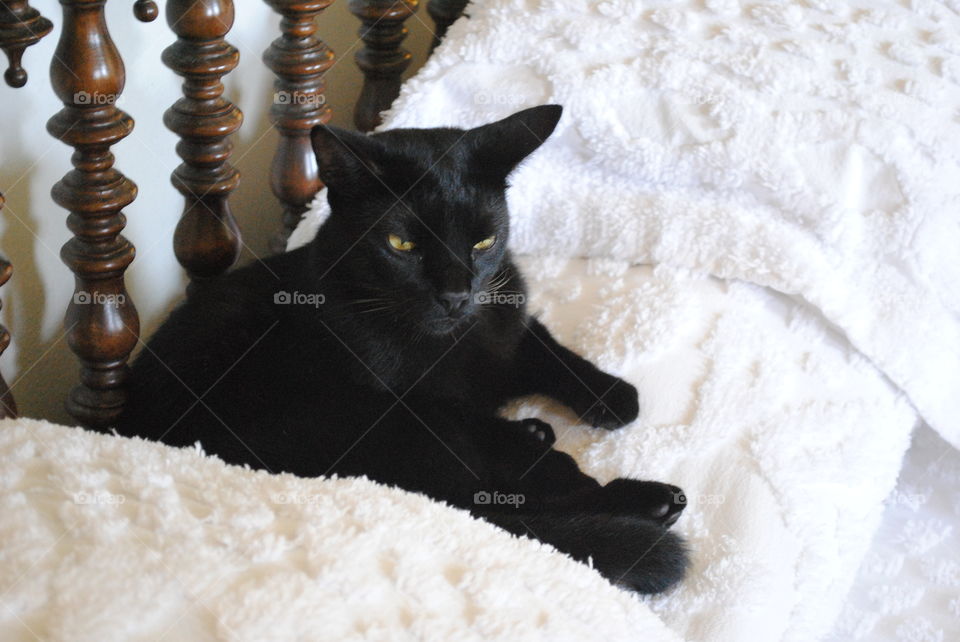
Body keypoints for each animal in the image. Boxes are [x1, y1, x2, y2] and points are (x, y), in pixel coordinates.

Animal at [118, 104, 688, 592]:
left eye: (483, 242)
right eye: (401, 245)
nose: (456, 294)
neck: (452, 339)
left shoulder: (505, 318)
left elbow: (544, 347)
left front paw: (612, 395)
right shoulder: (421, 404)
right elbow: (483, 428)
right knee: (501, 500)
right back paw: (646, 499)